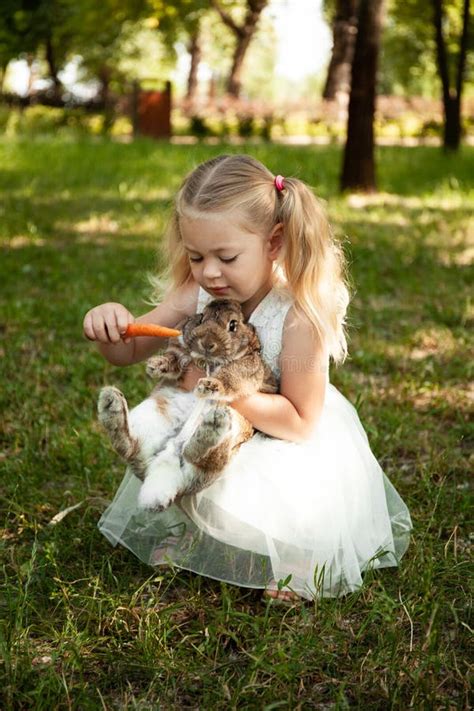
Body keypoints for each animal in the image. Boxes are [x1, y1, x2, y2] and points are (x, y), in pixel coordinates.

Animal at [97, 300, 276, 512]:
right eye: (201, 317)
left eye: (233, 325)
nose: (206, 343)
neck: (207, 360)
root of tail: (164, 468)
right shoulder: (179, 352)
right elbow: (174, 359)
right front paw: (156, 366)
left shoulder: (247, 367)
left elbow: (230, 375)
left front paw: (210, 386)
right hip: (151, 412)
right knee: (129, 445)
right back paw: (111, 403)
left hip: (234, 428)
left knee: (199, 458)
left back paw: (213, 424)